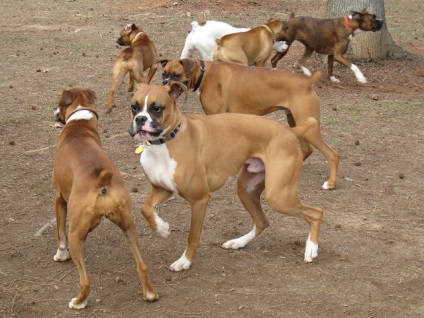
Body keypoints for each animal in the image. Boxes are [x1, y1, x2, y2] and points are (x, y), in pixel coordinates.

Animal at [52, 87, 157, 308]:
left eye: (59, 102)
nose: (54, 109)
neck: (79, 125)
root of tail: (103, 182)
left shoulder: (59, 198)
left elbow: (60, 232)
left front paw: (60, 255)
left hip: (76, 234)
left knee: (85, 280)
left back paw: (78, 302)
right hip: (128, 226)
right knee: (142, 266)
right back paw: (150, 294)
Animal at [127, 82, 322, 270]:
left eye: (156, 108)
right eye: (134, 107)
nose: (140, 119)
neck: (164, 142)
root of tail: (290, 131)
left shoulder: (200, 199)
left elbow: (192, 236)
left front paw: (185, 261)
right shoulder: (163, 189)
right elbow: (145, 208)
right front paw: (161, 228)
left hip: (278, 197)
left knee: (316, 213)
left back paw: (311, 249)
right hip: (246, 191)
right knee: (262, 222)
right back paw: (238, 242)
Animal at [161, 58, 340, 190]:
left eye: (176, 75)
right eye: (163, 74)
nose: (164, 84)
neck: (204, 74)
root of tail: (308, 80)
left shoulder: (216, 117)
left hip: (309, 126)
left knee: (332, 154)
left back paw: (330, 183)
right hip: (295, 121)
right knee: (306, 149)